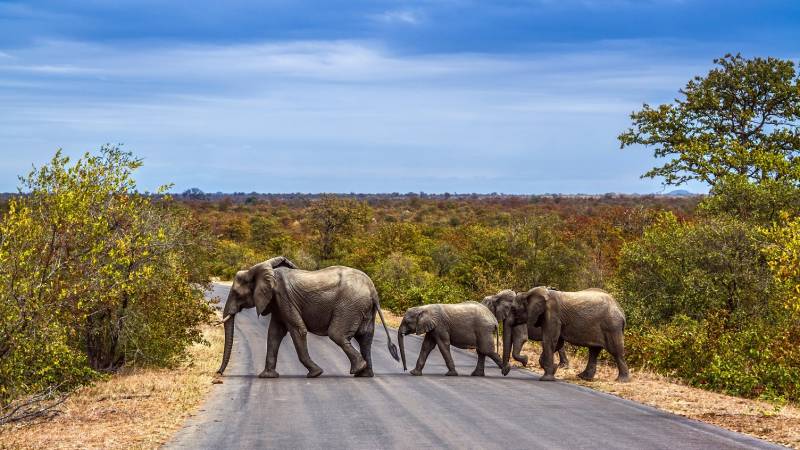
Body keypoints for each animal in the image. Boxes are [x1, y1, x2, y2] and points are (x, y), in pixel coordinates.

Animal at [217, 256, 399, 378]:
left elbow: (298, 330)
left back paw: (357, 369)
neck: (261, 269)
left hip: (350, 305)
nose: (218, 374)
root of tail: (372, 289)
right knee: (365, 338)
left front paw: (315, 374)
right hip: (364, 308)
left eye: (236, 293)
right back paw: (364, 374)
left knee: (337, 334)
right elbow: (274, 333)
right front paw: (267, 376)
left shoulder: (283, 297)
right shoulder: (278, 302)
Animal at [482, 288, 629, 382]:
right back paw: (583, 377)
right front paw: (552, 368)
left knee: (616, 351)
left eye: (513, 309)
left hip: (612, 326)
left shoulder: (552, 315)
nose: (505, 372)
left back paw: (621, 380)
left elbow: (543, 340)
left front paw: (543, 375)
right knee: (594, 350)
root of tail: (621, 310)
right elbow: (555, 342)